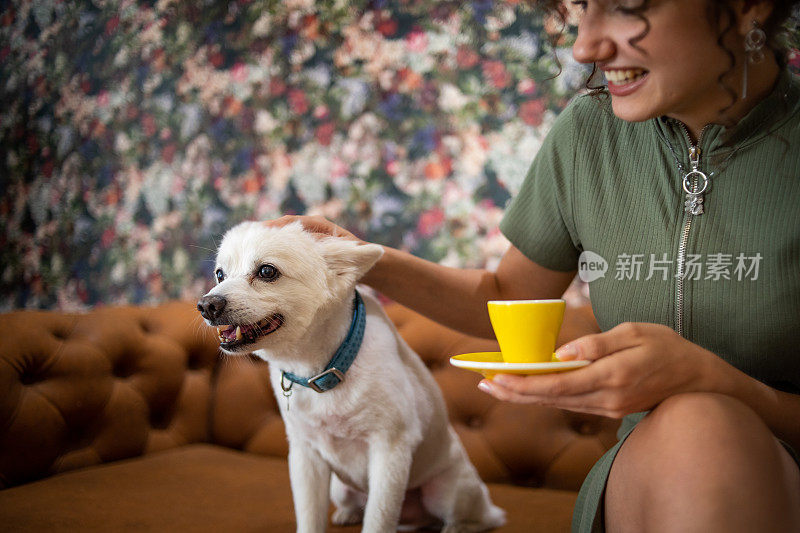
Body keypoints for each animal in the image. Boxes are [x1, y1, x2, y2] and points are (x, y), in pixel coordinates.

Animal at [197, 218, 504, 528]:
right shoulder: (305, 456)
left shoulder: (390, 450)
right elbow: (310, 517)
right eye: (220, 275)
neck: (321, 369)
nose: (207, 304)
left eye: (267, 271)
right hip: (340, 488)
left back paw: (459, 527)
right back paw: (348, 514)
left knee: (478, 518)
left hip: (446, 491)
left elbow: (379, 519)